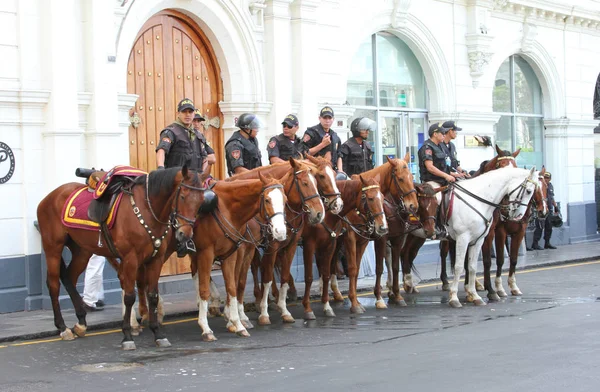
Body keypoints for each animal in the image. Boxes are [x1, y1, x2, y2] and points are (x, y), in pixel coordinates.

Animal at [38, 165, 206, 350]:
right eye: (182, 196)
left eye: (201, 201)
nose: (185, 234)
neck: (147, 209)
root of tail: (50, 196)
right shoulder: (130, 259)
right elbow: (129, 296)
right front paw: (127, 335)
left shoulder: (156, 259)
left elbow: (153, 295)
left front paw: (157, 333)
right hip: (53, 247)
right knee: (54, 285)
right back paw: (62, 328)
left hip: (82, 250)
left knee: (69, 278)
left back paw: (81, 322)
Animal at [300, 174, 390, 318]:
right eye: (370, 198)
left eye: (382, 198)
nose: (383, 227)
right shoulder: (349, 239)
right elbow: (352, 268)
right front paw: (354, 303)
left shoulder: (361, 242)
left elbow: (356, 269)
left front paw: (356, 301)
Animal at [440, 167, 540, 308]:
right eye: (529, 191)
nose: (519, 215)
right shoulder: (469, 237)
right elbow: (464, 265)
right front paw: (455, 297)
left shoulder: (478, 239)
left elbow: (472, 266)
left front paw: (474, 294)